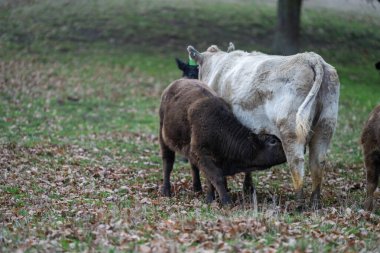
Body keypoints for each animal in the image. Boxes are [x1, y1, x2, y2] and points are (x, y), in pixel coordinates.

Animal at [189, 44, 340, 209]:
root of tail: (310, 57)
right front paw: (248, 188)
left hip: (290, 129)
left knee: (296, 161)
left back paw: (299, 205)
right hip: (326, 126)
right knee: (318, 161)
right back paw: (315, 203)